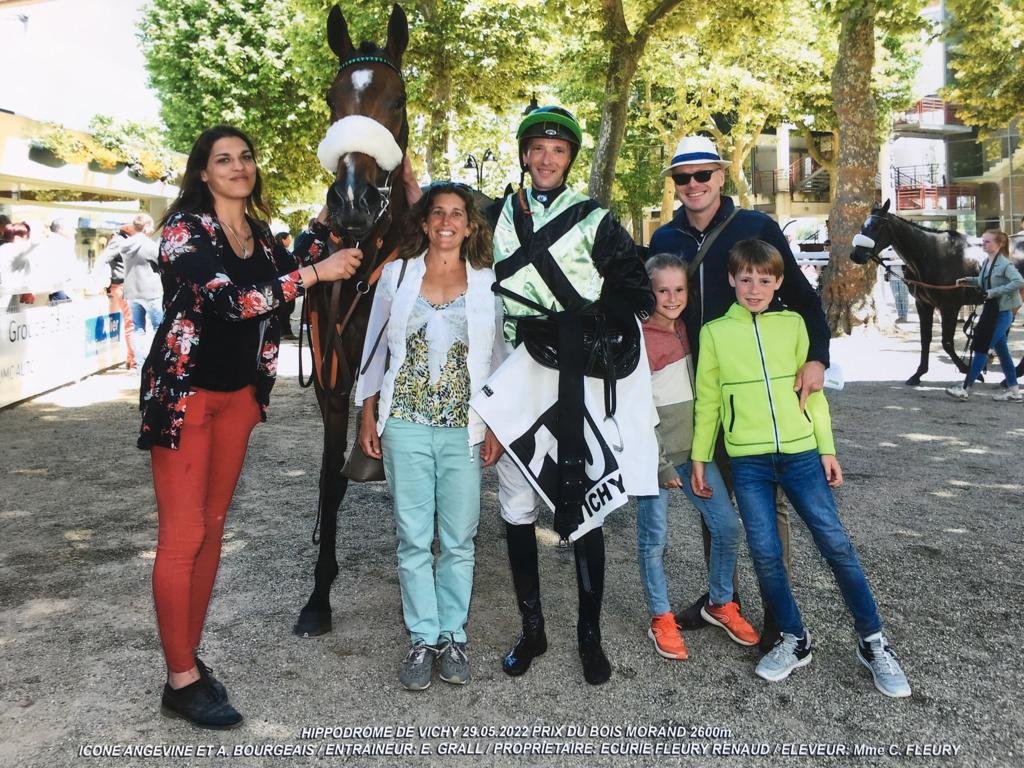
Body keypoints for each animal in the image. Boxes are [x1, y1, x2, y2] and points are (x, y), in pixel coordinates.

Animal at [850, 200, 982, 386]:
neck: (934, 255)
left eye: (877, 226)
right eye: (863, 225)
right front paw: (918, 374)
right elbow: (925, 339)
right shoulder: (924, 305)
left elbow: (947, 342)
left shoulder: (950, 307)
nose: (856, 255)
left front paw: (969, 371)